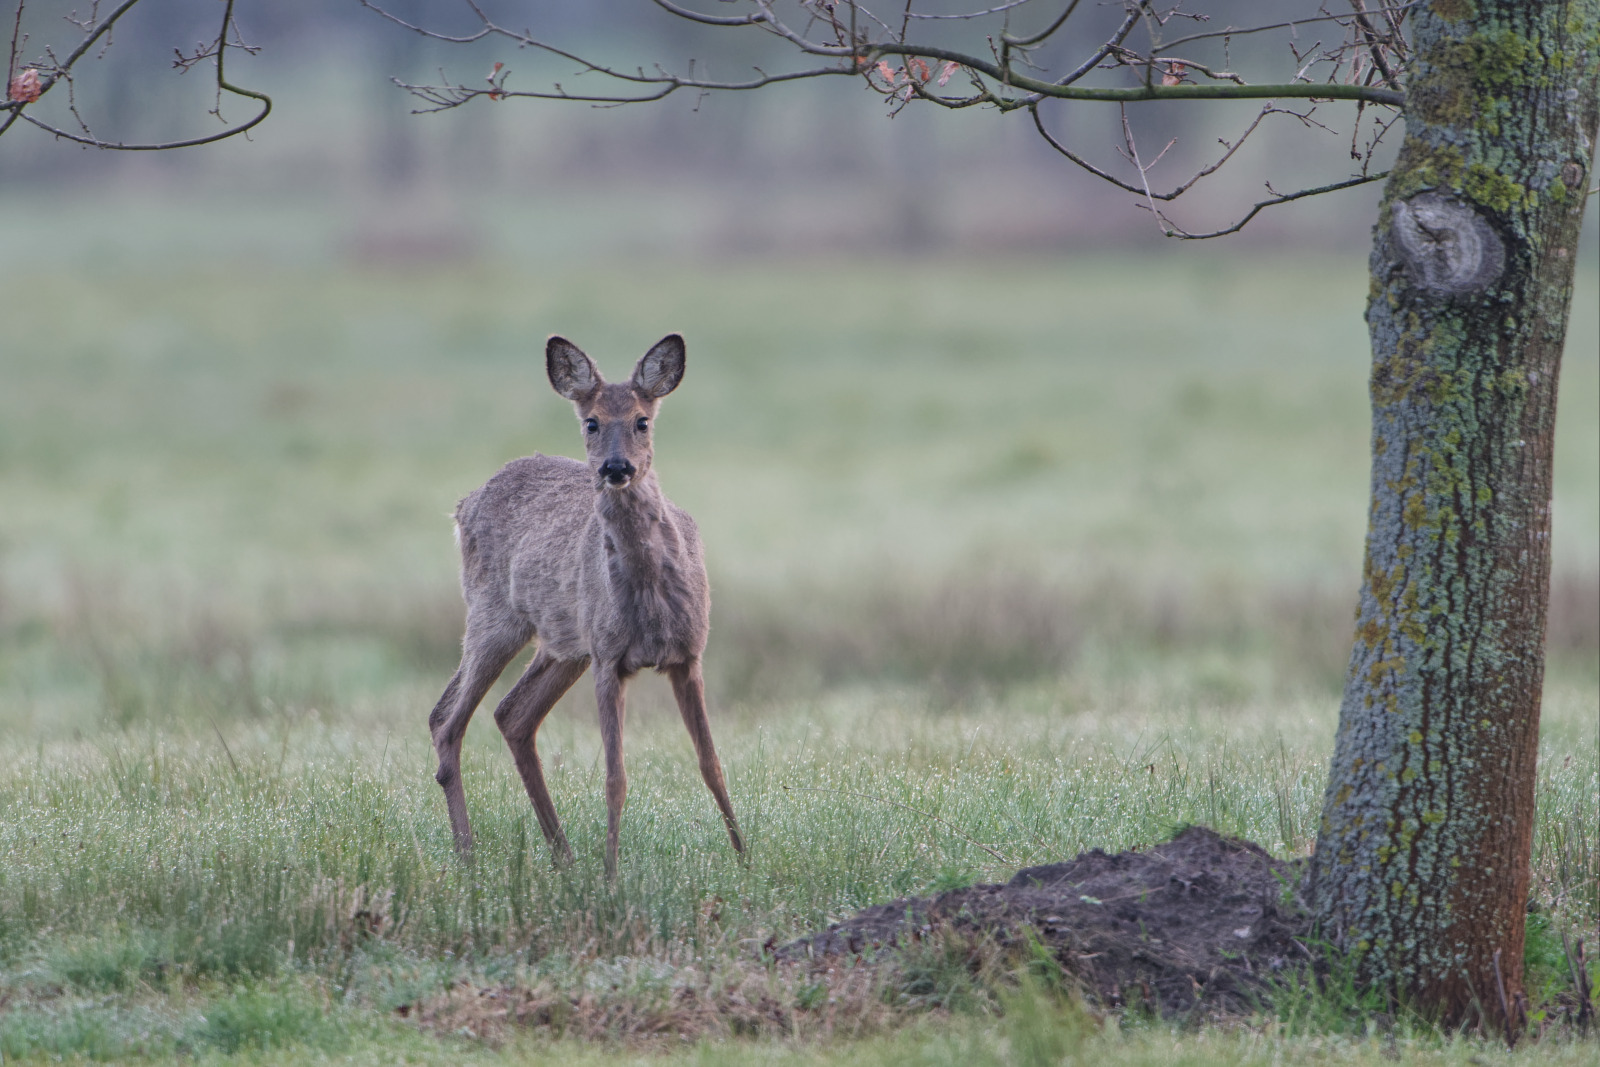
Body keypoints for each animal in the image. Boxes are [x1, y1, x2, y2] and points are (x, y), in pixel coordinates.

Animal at [428, 334, 745, 876]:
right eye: (591, 422)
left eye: (642, 420)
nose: (616, 468)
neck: (649, 597)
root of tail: (463, 505)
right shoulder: (609, 658)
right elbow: (615, 778)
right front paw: (612, 874)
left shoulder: (688, 654)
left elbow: (713, 764)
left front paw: (747, 859)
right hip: (495, 616)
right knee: (448, 722)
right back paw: (469, 857)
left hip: (563, 644)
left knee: (510, 715)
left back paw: (564, 857)